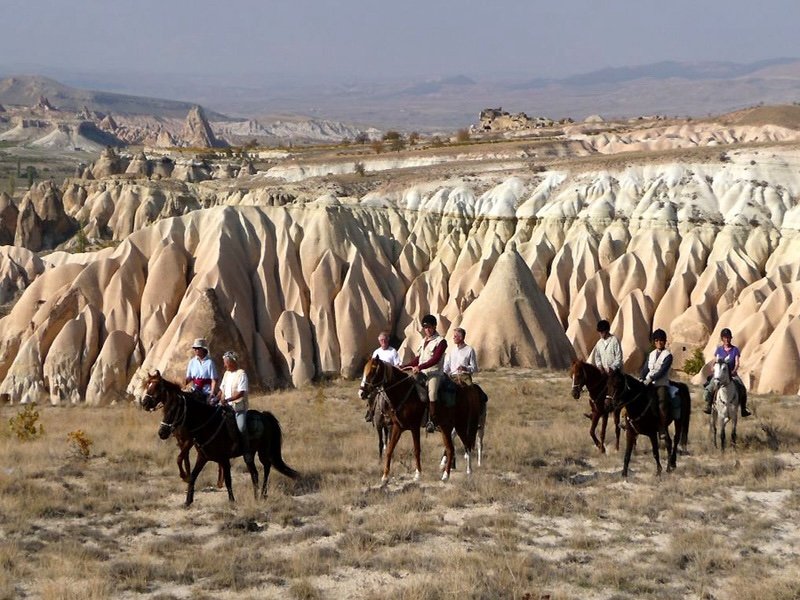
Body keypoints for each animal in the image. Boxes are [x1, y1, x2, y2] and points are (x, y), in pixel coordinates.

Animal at [139, 370, 298, 506]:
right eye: (165, 411)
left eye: (173, 412)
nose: (162, 433)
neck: (206, 423)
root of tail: (264, 415)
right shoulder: (201, 456)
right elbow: (193, 474)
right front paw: (188, 500)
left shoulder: (222, 458)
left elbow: (227, 479)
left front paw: (231, 501)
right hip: (250, 454)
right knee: (254, 473)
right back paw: (256, 496)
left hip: (263, 451)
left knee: (266, 467)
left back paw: (263, 495)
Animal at [360, 358, 484, 486]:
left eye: (373, 371)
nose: (361, 393)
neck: (405, 393)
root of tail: (464, 389)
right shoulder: (397, 427)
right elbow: (389, 449)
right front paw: (385, 477)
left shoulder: (414, 427)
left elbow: (416, 450)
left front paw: (418, 474)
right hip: (446, 427)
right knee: (451, 449)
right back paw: (447, 475)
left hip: (460, 425)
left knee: (467, 445)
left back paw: (466, 472)